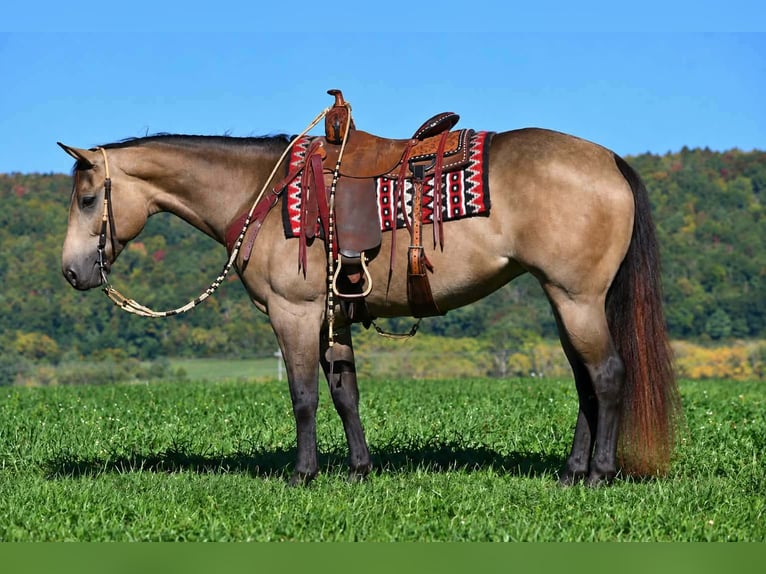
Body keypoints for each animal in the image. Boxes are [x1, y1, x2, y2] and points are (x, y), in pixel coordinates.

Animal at [58, 120, 681, 486]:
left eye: (88, 199)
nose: (72, 271)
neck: (264, 193)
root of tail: (610, 160)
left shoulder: (294, 312)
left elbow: (304, 397)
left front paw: (303, 475)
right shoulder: (333, 318)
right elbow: (345, 396)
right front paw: (359, 471)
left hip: (578, 300)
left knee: (607, 375)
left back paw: (599, 474)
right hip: (565, 301)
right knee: (585, 383)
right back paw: (572, 472)